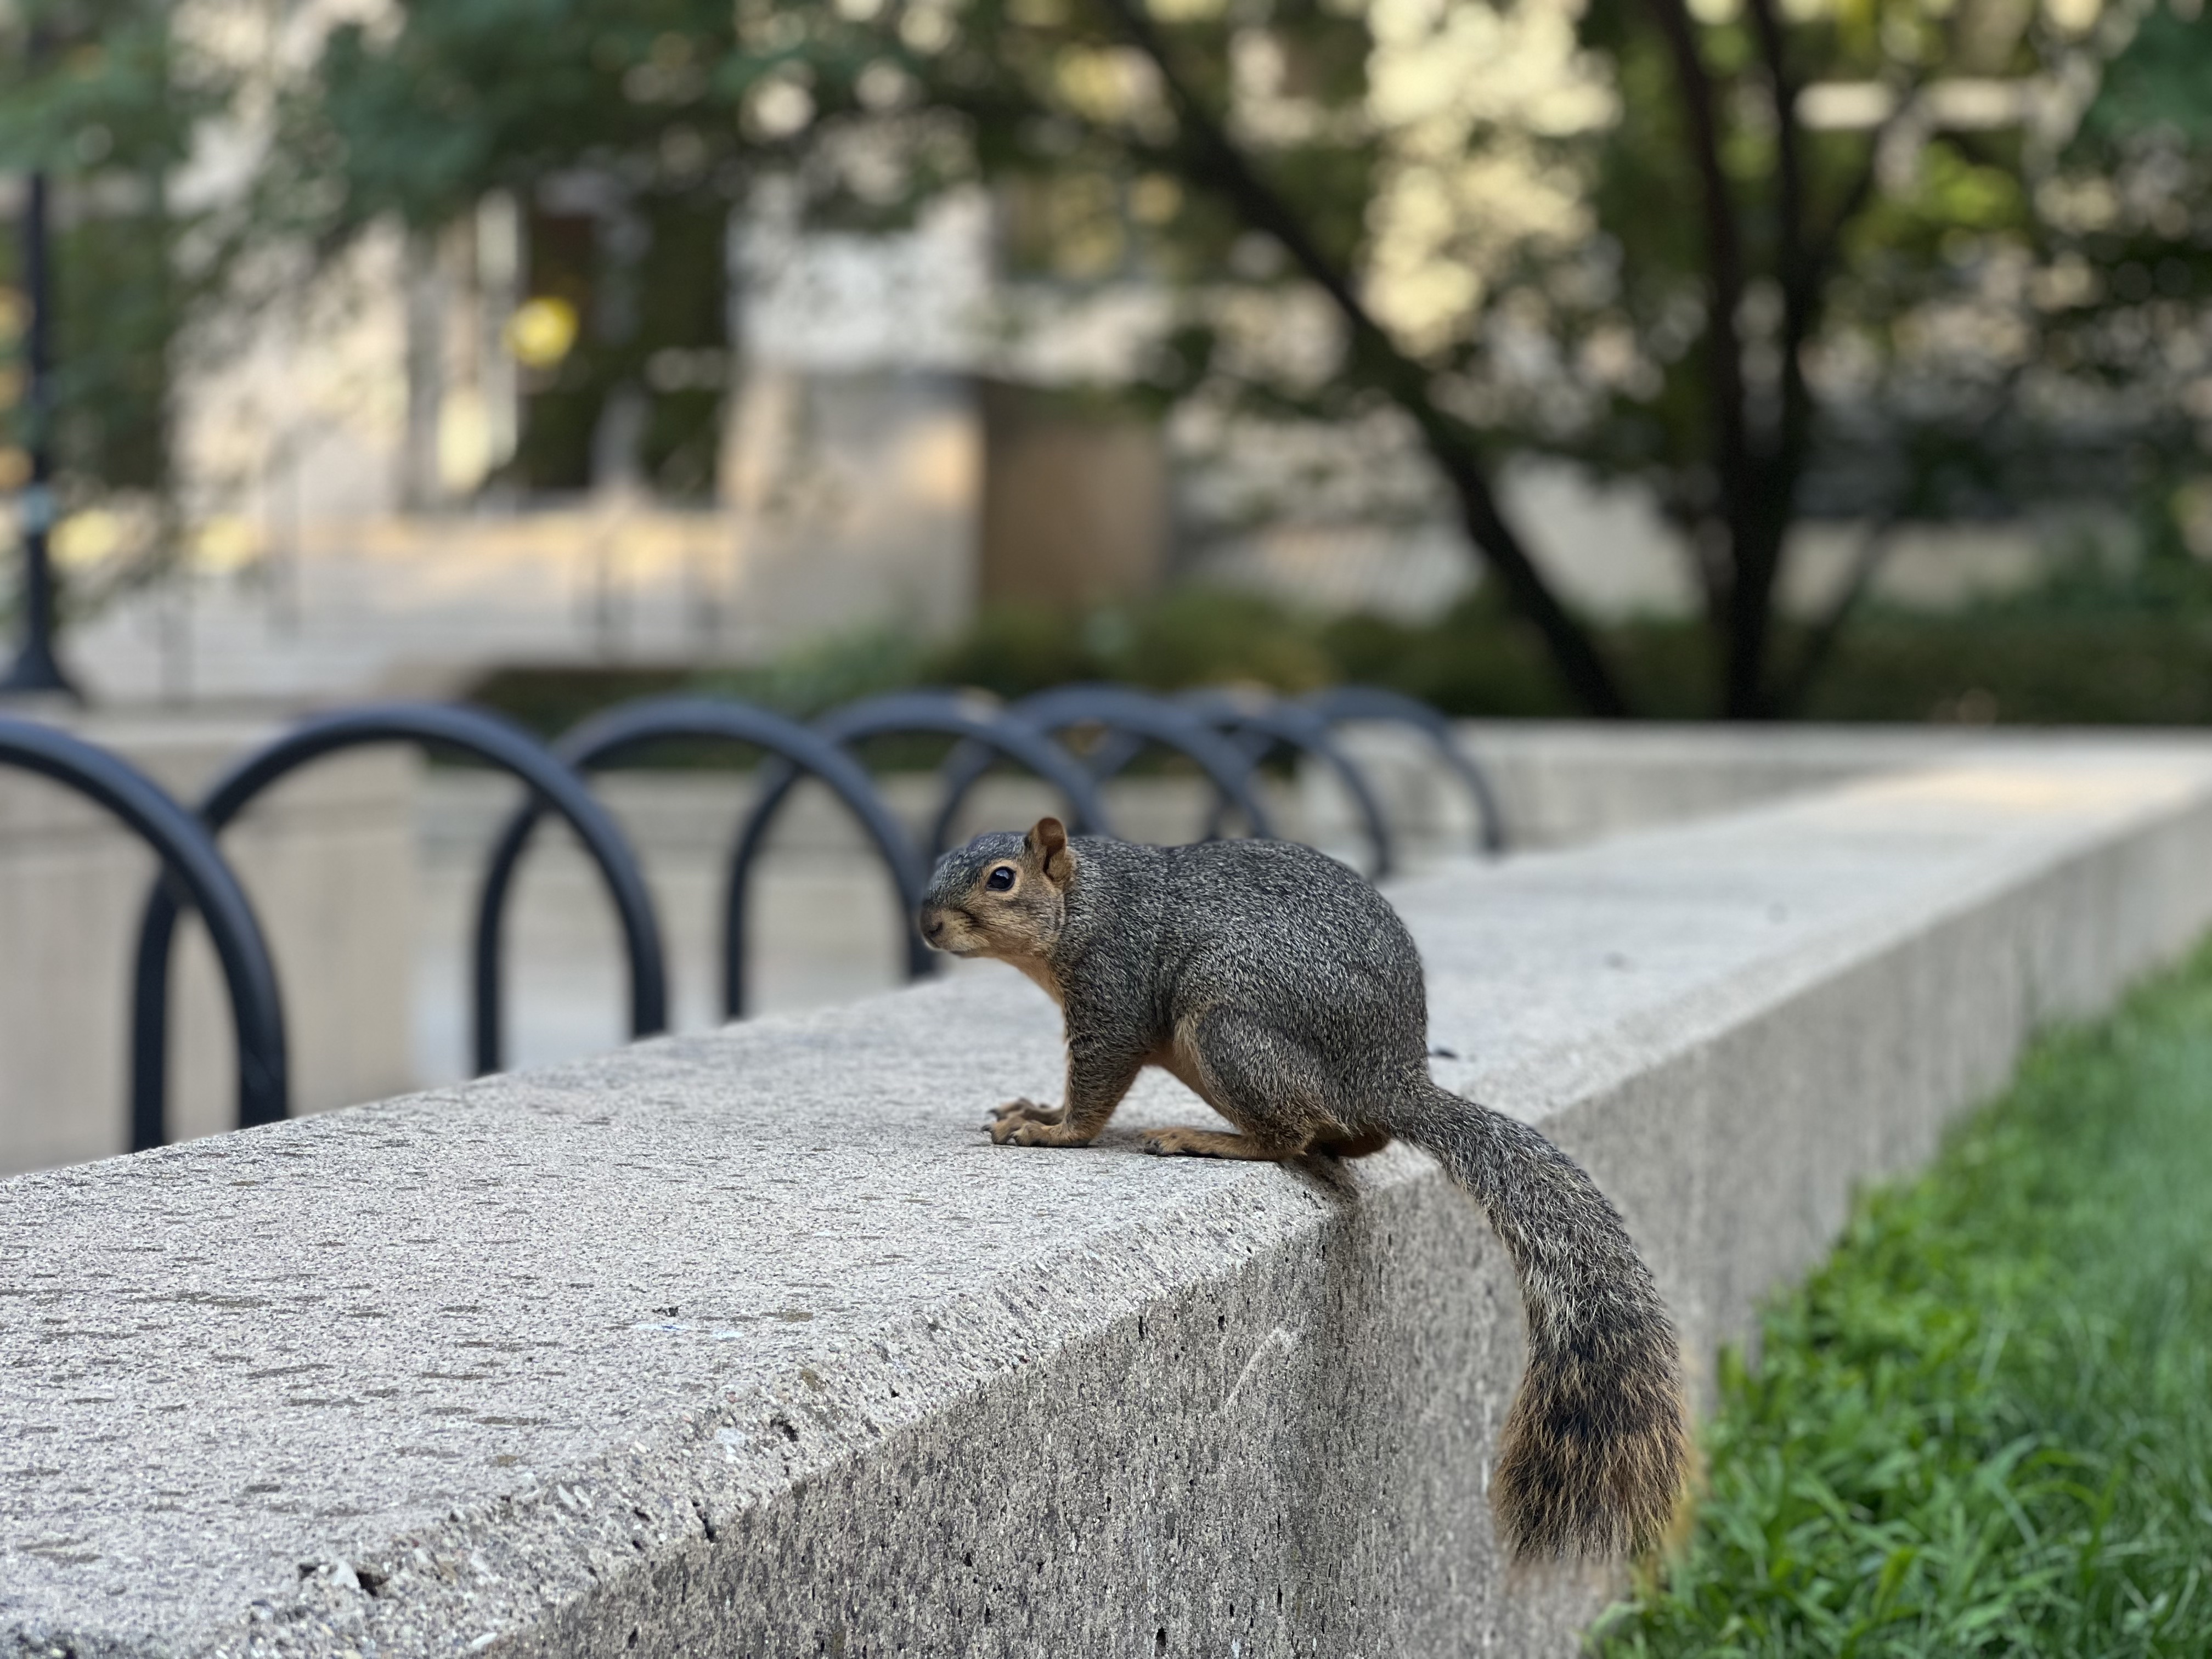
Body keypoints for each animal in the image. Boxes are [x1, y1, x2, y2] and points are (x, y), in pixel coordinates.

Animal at [918, 817, 1689, 1560]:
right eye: (946, 859)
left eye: (1001, 879)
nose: (928, 924)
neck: (1087, 901)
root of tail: (1389, 1076)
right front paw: (1036, 1110)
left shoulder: (1114, 989)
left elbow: (1097, 1083)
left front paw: (1053, 1130)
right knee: (1350, 1137)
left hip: (1227, 1029)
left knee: (1289, 1134)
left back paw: (1210, 1138)